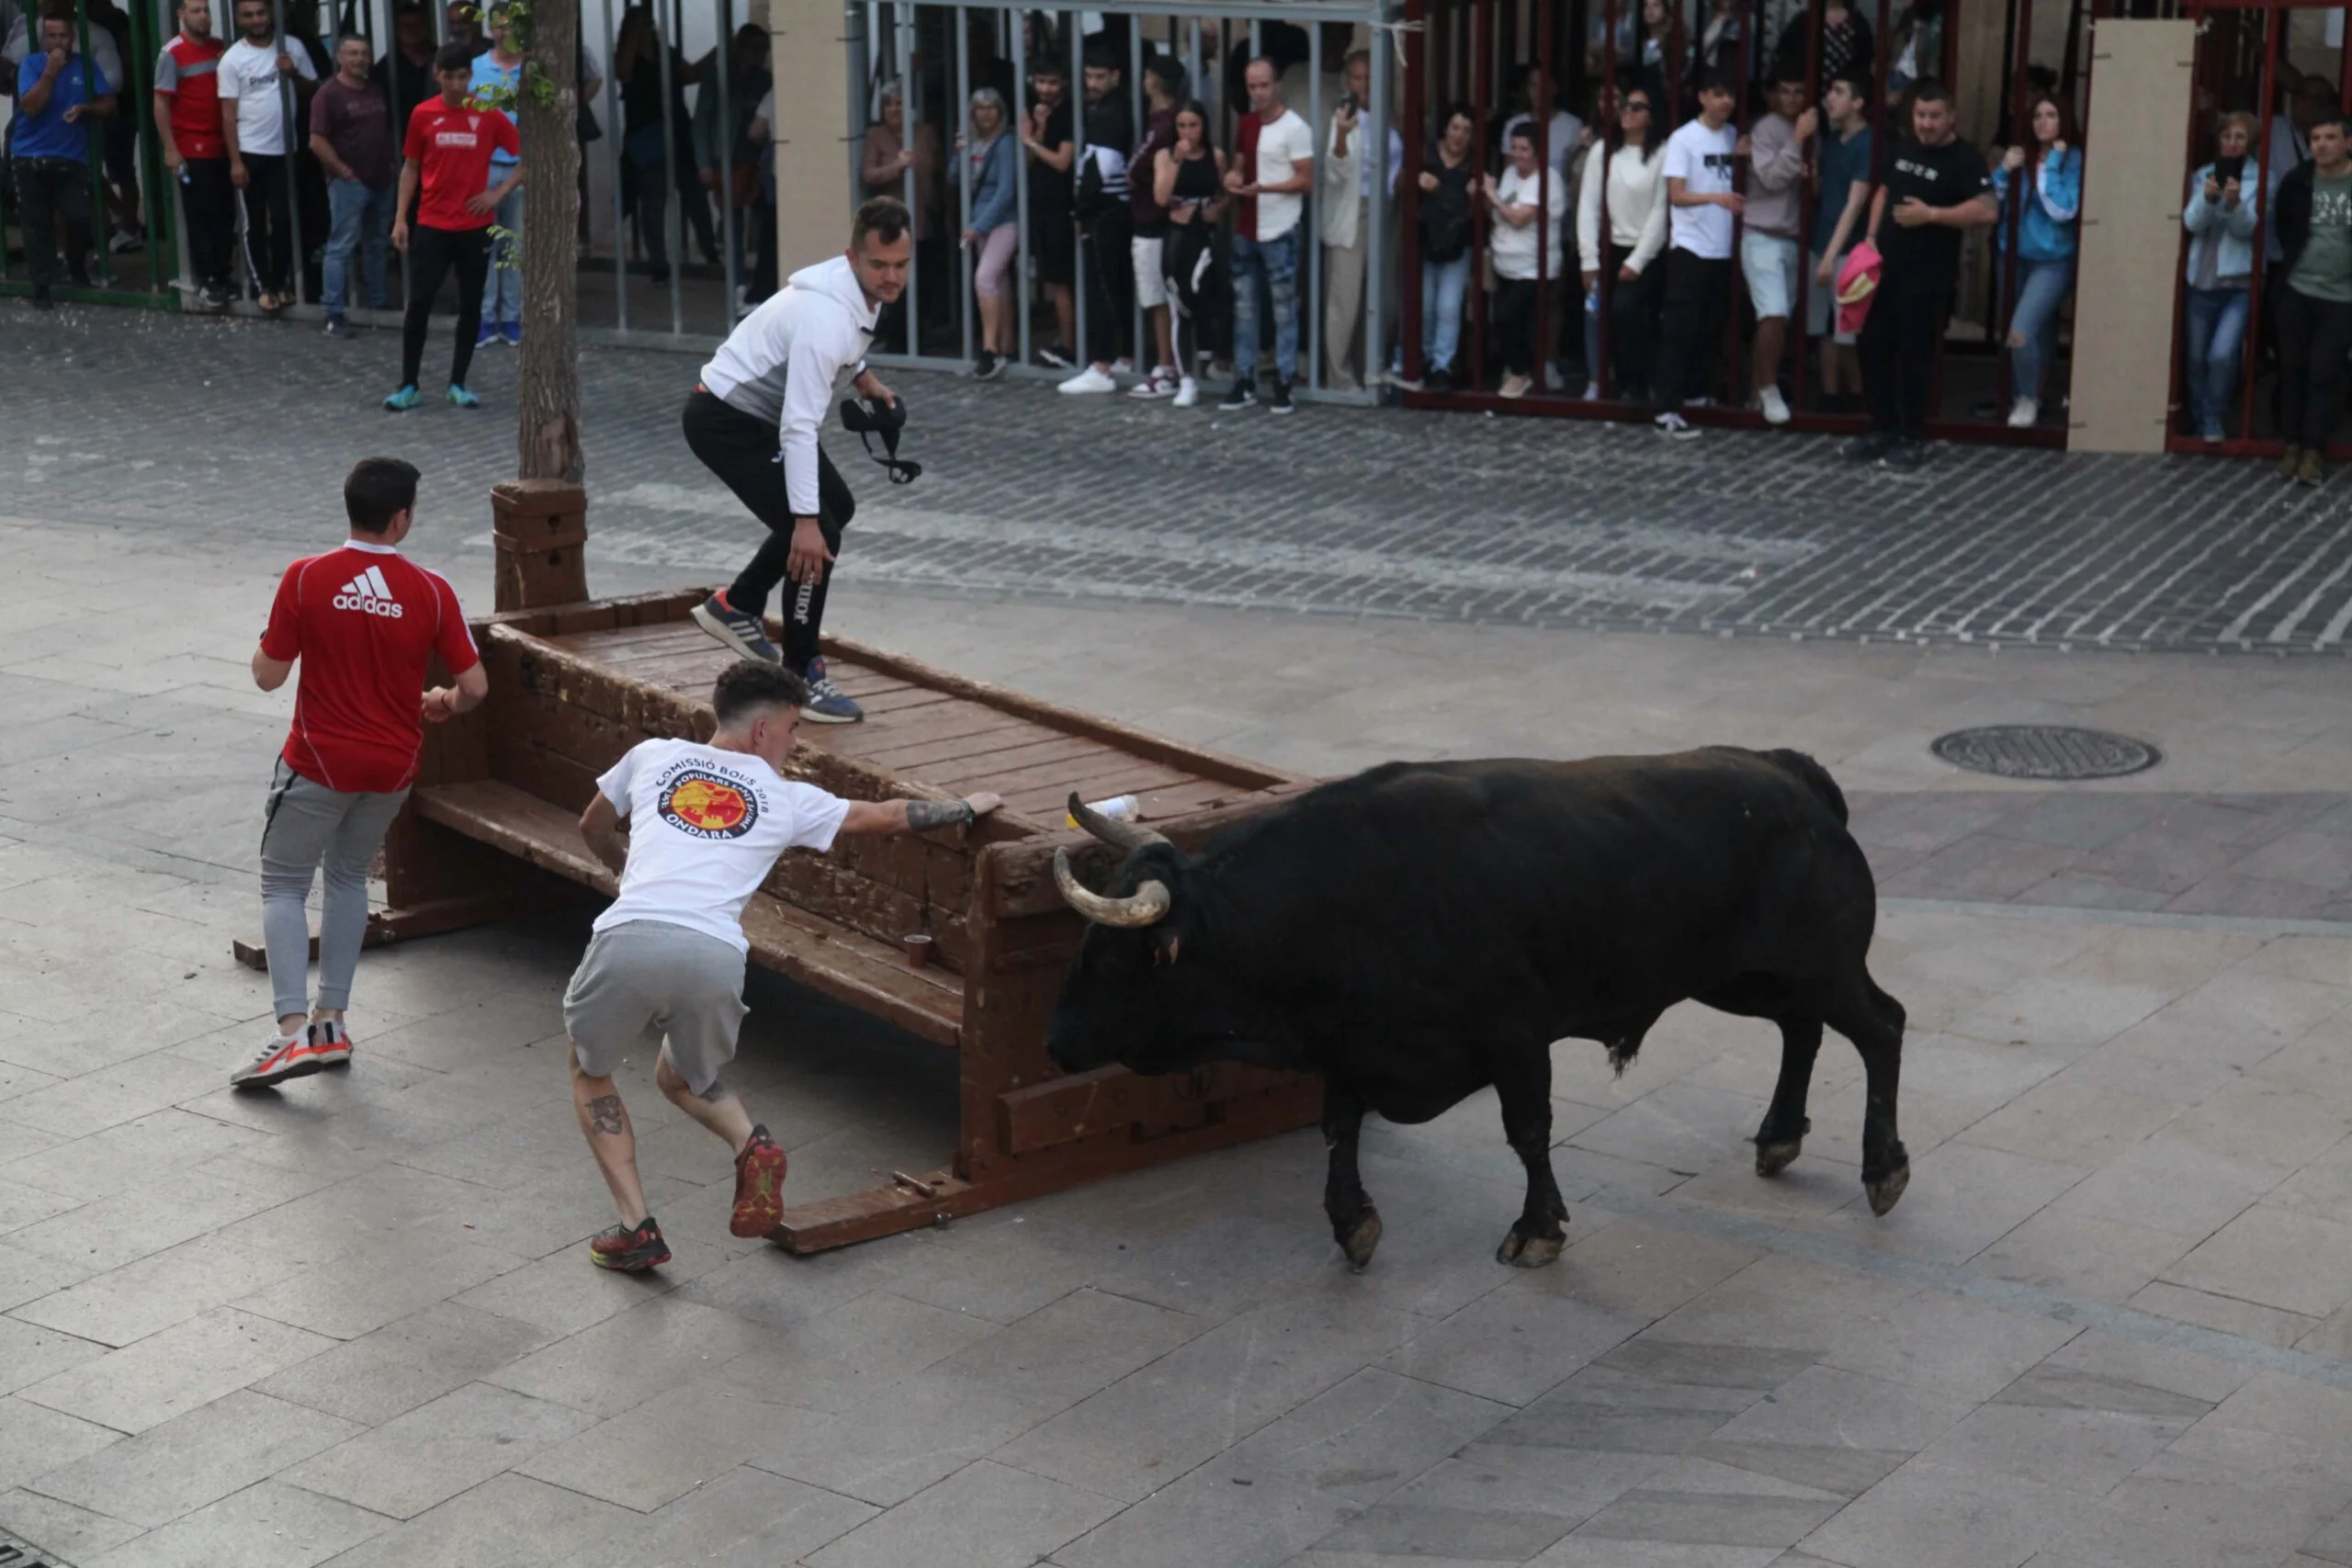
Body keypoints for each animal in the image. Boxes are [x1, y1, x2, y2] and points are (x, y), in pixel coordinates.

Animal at [1048, 751, 1909, 1279]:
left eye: (1112, 959)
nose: (1055, 1043)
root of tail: (1790, 773)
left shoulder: (1516, 1033)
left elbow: (1526, 1130)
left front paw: (1538, 1228)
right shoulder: (1351, 1045)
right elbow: (1339, 1125)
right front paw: (1351, 1221)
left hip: (1822, 965)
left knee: (1882, 1026)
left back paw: (1883, 1166)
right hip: (1748, 976)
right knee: (1801, 1028)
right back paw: (1780, 1134)